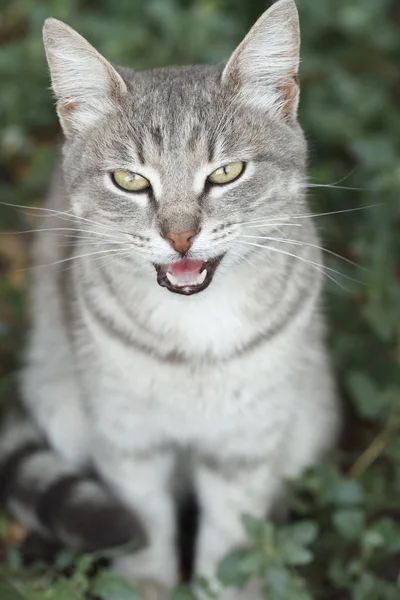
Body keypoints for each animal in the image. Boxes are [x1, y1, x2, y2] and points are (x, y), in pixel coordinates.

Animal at [0, 1, 340, 596]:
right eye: (129, 180)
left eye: (227, 172)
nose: (180, 237)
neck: (196, 328)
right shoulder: (128, 441)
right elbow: (147, 531)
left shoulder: (244, 449)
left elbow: (230, 546)